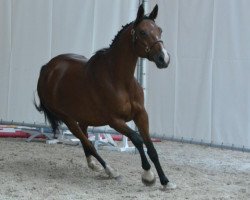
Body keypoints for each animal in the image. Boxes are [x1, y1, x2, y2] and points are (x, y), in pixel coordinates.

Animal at [35, 4, 176, 189]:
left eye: (160, 30)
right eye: (143, 32)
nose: (163, 58)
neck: (119, 80)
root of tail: (47, 68)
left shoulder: (141, 115)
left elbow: (151, 147)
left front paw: (166, 181)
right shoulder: (114, 120)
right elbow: (137, 139)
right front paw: (148, 175)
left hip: (83, 117)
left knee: (86, 139)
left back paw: (93, 164)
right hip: (68, 119)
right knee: (87, 142)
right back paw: (110, 170)